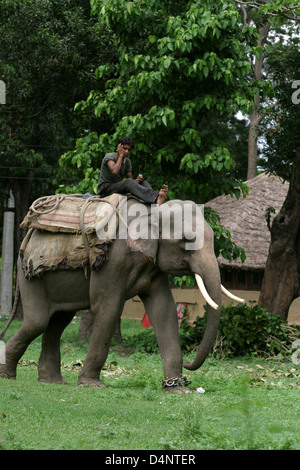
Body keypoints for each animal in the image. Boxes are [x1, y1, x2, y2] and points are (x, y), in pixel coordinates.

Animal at [0, 196, 244, 392]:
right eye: (187, 240)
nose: (188, 366)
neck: (152, 211)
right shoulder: (113, 261)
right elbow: (107, 308)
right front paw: (92, 385)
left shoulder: (153, 265)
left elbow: (164, 310)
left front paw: (177, 390)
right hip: (29, 276)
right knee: (38, 322)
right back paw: (7, 375)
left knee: (57, 322)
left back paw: (51, 381)